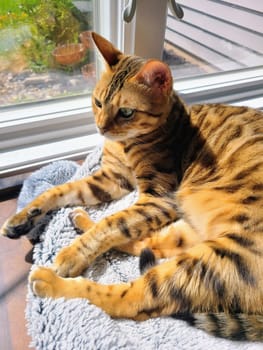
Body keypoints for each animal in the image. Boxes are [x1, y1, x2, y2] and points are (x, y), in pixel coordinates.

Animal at [0, 32, 263, 340]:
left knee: (135, 298)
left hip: (225, 255)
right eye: (98, 102)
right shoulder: (111, 179)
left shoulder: (159, 197)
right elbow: (61, 191)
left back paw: (50, 281)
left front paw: (73, 254)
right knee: (150, 245)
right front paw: (23, 217)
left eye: (126, 112)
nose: (101, 128)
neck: (125, 144)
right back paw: (80, 220)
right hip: (193, 231)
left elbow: (112, 223)